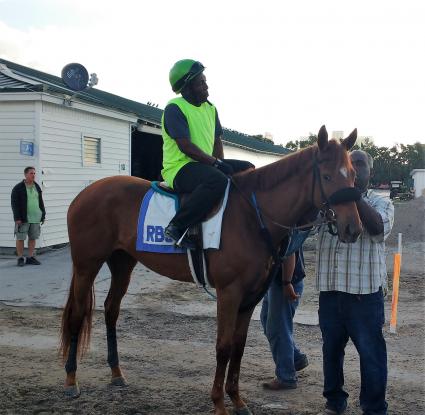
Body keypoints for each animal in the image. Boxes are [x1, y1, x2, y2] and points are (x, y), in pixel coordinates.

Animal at [59, 127, 360, 415]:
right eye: (327, 176)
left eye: (354, 176)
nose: (353, 228)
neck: (252, 215)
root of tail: (85, 193)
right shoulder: (229, 293)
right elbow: (223, 346)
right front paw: (218, 403)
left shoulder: (250, 296)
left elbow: (238, 346)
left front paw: (237, 399)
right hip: (86, 265)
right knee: (77, 314)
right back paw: (71, 380)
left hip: (122, 263)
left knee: (111, 310)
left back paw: (116, 373)